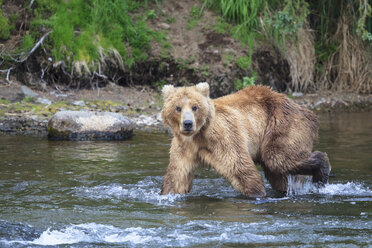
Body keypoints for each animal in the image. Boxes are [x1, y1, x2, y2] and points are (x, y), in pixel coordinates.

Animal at [161, 82, 330, 199]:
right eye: (178, 108)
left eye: (195, 107)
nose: (188, 123)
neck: (199, 135)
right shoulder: (184, 147)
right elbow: (177, 176)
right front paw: (167, 193)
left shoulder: (224, 137)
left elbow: (240, 168)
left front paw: (257, 194)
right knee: (278, 173)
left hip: (283, 123)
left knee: (278, 157)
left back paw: (320, 175)